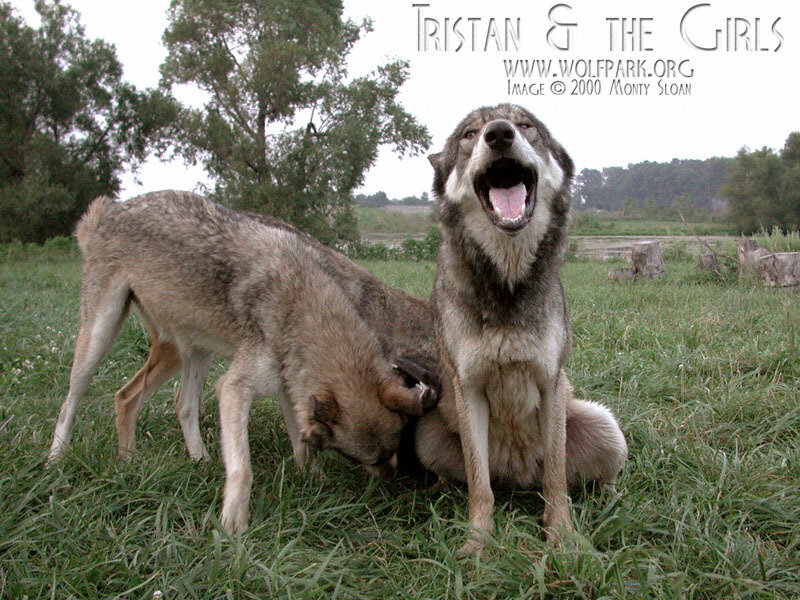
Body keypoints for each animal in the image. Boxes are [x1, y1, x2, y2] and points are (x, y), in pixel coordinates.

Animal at [47, 191, 437, 534]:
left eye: (392, 452)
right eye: (367, 460)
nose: (393, 487)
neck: (299, 302)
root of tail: (109, 209)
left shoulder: (289, 388)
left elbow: (300, 445)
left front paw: (313, 481)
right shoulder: (236, 387)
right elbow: (243, 467)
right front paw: (233, 523)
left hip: (188, 350)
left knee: (155, 400)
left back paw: (158, 460)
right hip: (99, 339)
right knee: (73, 401)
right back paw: (57, 459)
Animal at [422, 104, 627, 552]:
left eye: (525, 125)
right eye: (469, 134)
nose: (499, 134)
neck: (508, 283)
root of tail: (516, 475)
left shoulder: (550, 381)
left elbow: (555, 480)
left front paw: (563, 538)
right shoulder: (469, 388)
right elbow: (480, 486)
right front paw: (478, 544)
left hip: (606, 426)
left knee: (580, 479)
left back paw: (609, 501)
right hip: (425, 431)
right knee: (473, 479)